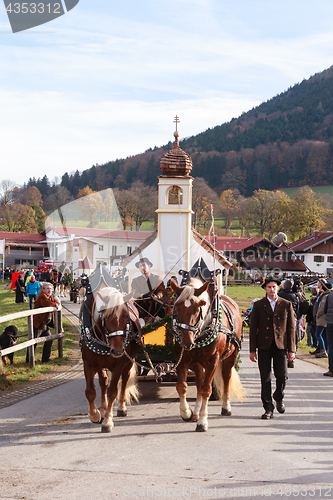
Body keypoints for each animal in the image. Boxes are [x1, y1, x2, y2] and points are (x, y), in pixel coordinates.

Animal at [82, 288, 143, 432]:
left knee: (125, 379)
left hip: (129, 361)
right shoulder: (88, 365)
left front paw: (108, 421)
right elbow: (90, 391)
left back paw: (121, 407)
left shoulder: (118, 366)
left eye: (126, 316)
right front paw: (95, 414)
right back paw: (103, 409)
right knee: (103, 382)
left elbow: (112, 392)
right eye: (107, 317)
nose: (118, 351)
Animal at [171, 276, 244, 432]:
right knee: (199, 381)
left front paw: (203, 421)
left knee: (226, 378)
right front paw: (186, 412)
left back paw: (226, 407)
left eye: (197, 309)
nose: (186, 342)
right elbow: (181, 386)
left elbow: (206, 389)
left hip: (231, 357)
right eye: (177, 307)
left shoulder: (213, 362)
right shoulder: (183, 359)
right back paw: (196, 412)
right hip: (197, 362)